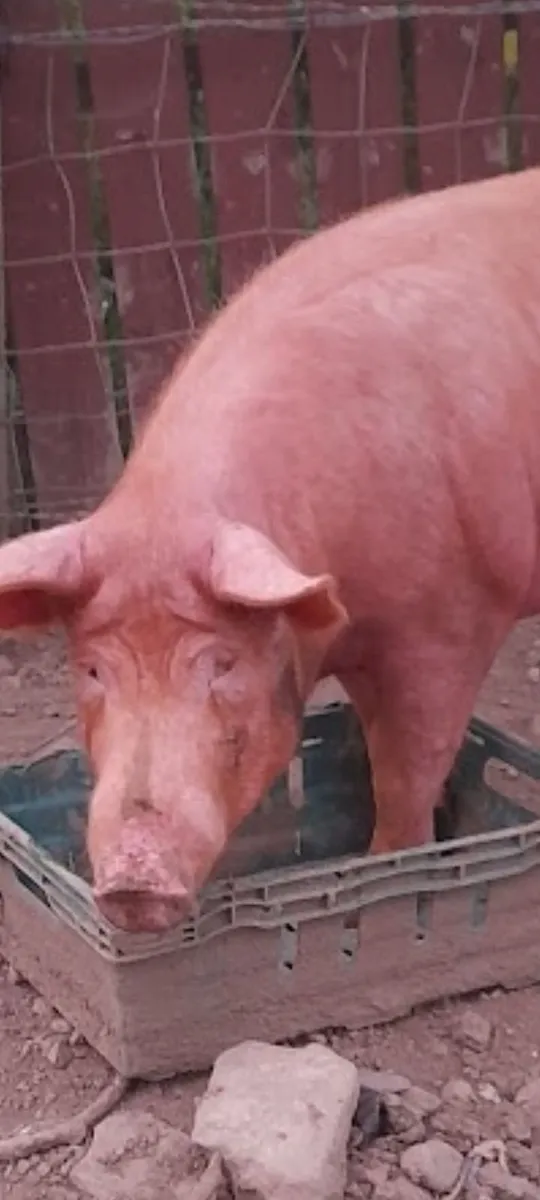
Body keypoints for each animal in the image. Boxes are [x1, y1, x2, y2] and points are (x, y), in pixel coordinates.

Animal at [0, 166, 539, 933]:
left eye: (222, 663)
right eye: (93, 671)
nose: (133, 882)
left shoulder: (447, 625)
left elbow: (406, 775)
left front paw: (388, 877)